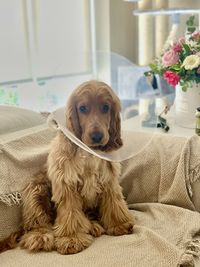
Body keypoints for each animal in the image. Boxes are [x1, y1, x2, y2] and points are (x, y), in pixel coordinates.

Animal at [0, 79, 134, 255]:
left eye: (105, 107)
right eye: (83, 108)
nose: (97, 136)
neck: (88, 151)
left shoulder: (108, 180)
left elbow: (114, 202)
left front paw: (119, 224)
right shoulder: (66, 183)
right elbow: (70, 212)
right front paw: (72, 238)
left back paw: (94, 226)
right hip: (36, 188)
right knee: (36, 223)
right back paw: (40, 236)